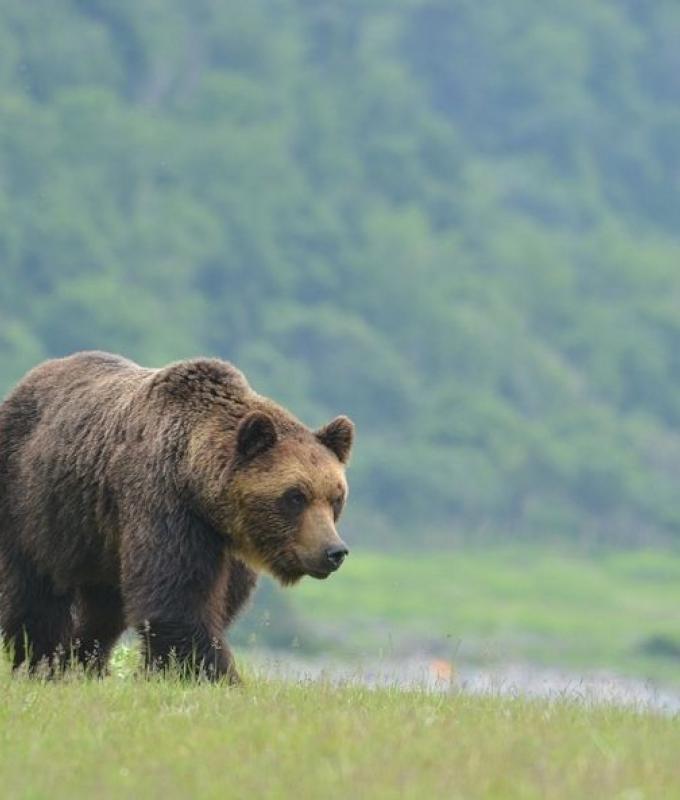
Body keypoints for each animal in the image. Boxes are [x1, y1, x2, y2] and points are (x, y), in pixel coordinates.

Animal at [0, 351, 354, 682]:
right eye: (295, 496)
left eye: (336, 498)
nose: (334, 551)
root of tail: (26, 381)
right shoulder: (165, 507)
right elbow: (178, 600)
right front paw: (215, 676)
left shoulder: (226, 546)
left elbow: (220, 604)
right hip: (34, 505)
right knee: (34, 589)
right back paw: (40, 661)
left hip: (99, 538)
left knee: (103, 607)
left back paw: (83, 663)